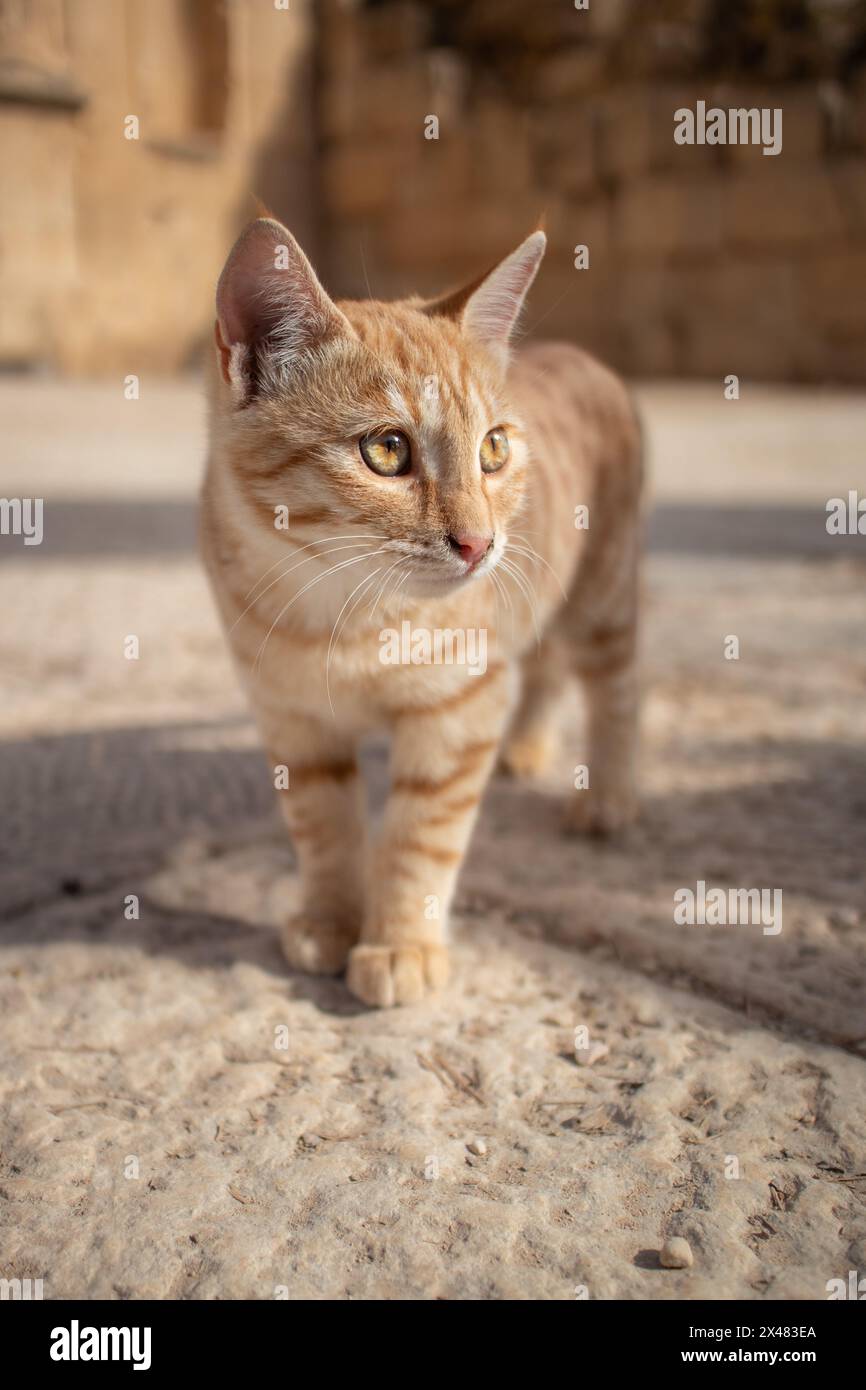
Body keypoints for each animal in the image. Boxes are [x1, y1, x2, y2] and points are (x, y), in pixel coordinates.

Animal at [200, 225, 639, 1011]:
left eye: (493, 447)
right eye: (386, 449)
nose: (479, 543)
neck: (344, 617)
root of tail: (580, 354)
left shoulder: (460, 704)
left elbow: (418, 837)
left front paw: (400, 943)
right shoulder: (292, 720)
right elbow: (323, 827)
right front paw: (330, 920)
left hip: (602, 594)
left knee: (614, 689)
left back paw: (609, 797)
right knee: (546, 667)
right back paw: (527, 748)